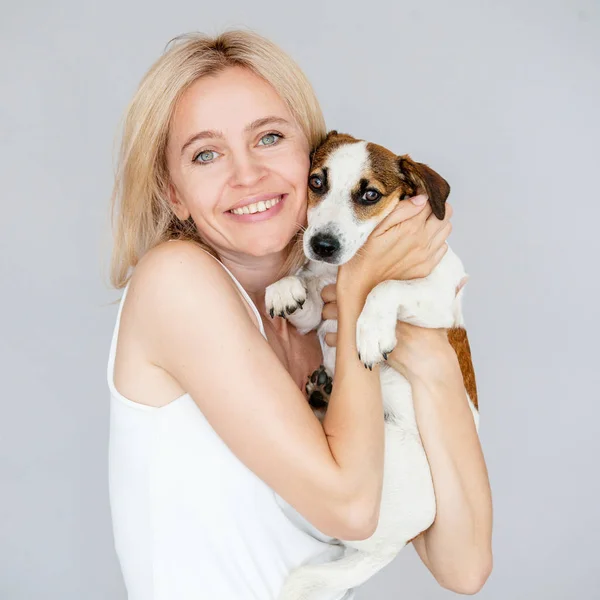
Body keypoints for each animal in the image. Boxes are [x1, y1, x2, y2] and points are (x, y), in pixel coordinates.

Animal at [264, 131, 480, 600]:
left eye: (369, 195)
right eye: (316, 182)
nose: (321, 245)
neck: (341, 274)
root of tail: (393, 546)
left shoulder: (439, 293)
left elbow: (386, 286)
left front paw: (369, 331)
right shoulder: (317, 310)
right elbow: (305, 290)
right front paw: (284, 286)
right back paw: (319, 392)